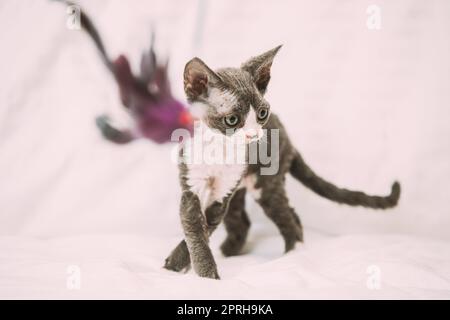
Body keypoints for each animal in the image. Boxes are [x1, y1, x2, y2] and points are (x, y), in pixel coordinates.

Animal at [163, 46, 400, 278]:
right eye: (232, 120)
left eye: (262, 113)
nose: (253, 135)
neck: (219, 150)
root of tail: (288, 139)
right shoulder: (192, 185)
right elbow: (195, 227)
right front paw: (192, 268)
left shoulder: (222, 194)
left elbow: (204, 226)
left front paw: (194, 271)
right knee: (247, 221)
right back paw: (230, 253)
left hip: (266, 183)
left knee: (286, 216)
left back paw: (292, 256)